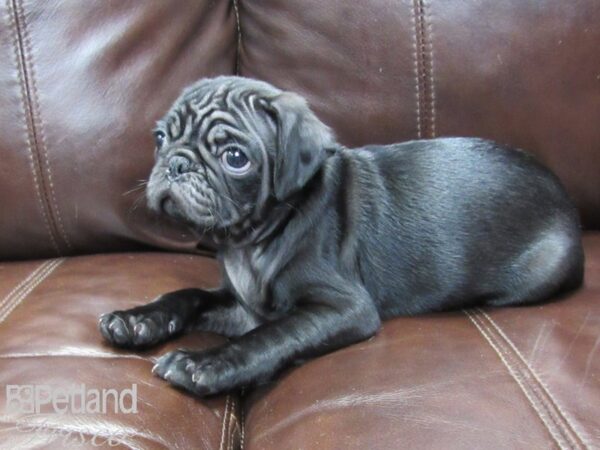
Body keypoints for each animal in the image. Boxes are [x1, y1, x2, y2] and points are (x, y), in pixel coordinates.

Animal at [97, 75, 580, 396]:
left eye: (235, 158)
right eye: (160, 137)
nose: (176, 163)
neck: (251, 241)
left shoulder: (344, 307)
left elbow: (271, 335)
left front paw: (207, 364)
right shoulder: (242, 306)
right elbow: (189, 295)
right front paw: (139, 319)